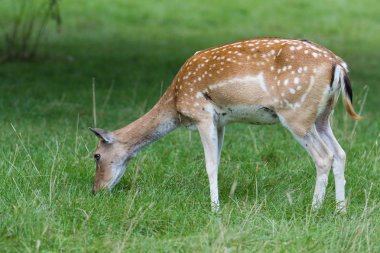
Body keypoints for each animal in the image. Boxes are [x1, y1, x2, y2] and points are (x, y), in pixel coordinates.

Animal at [90, 37, 360, 212]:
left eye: (96, 155)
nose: (95, 191)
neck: (176, 102)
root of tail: (338, 65)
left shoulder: (201, 113)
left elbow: (209, 165)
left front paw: (214, 208)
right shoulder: (221, 121)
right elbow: (218, 162)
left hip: (297, 113)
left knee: (324, 156)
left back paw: (314, 210)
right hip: (322, 116)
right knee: (340, 153)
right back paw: (341, 210)